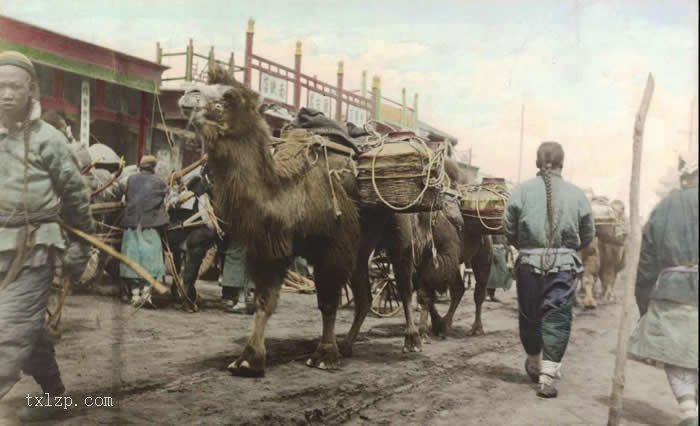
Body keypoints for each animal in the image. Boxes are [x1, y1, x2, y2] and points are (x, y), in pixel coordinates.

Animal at [179, 69, 360, 376]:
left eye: (229, 97)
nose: (188, 93)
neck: (290, 192)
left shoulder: (334, 245)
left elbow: (327, 302)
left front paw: (324, 355)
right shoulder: (270, 246)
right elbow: (265, 300)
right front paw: (248, 359)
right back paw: (350, 343)